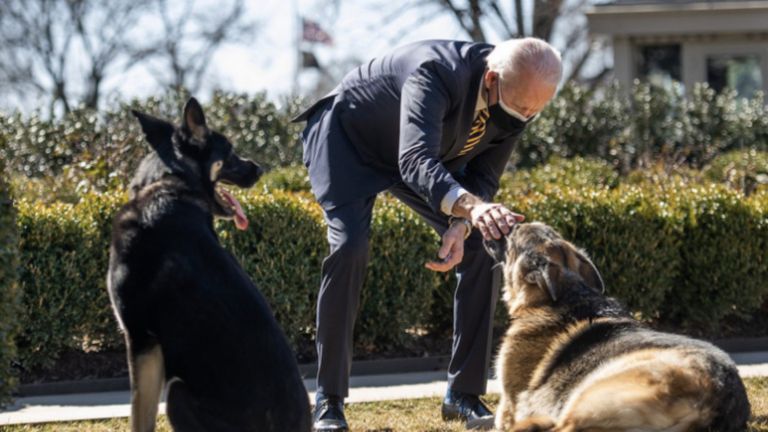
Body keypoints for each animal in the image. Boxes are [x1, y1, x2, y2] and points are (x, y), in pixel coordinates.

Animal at [108, 98, 312, 432]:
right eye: (229, 152)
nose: (260, 169)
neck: (169, 183)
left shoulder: (142, 341)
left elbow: (139, 419)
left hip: (176, 393)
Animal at [486, 223, 752, 432]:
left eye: (513, 233)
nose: (502, 224)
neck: (569, 293)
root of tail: (712, 406)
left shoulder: (507, 404)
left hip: (591, 393)